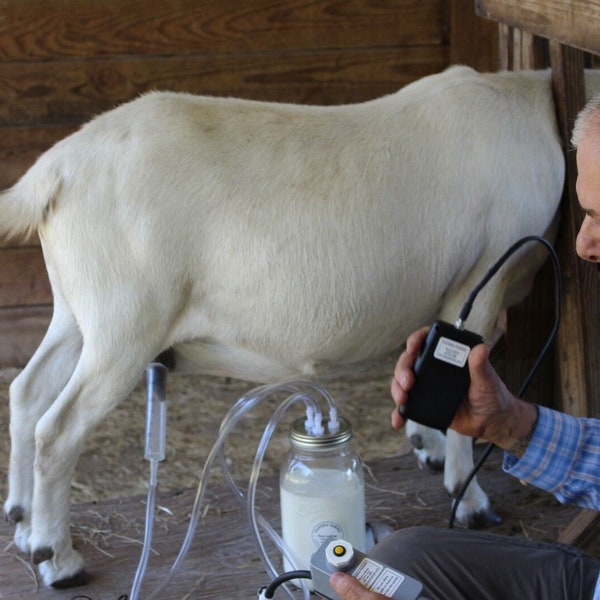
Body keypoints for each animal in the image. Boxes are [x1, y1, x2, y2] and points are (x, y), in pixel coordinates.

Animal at [1, 67, 572, 584]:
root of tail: (57, 166)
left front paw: (424, 443)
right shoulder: (485, 275)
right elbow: (461, 389)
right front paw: (469, 500)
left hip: (78, 311)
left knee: (28, 393)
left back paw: (24, 525)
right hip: (126, 320)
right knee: (58, 429)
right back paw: (58, 559)